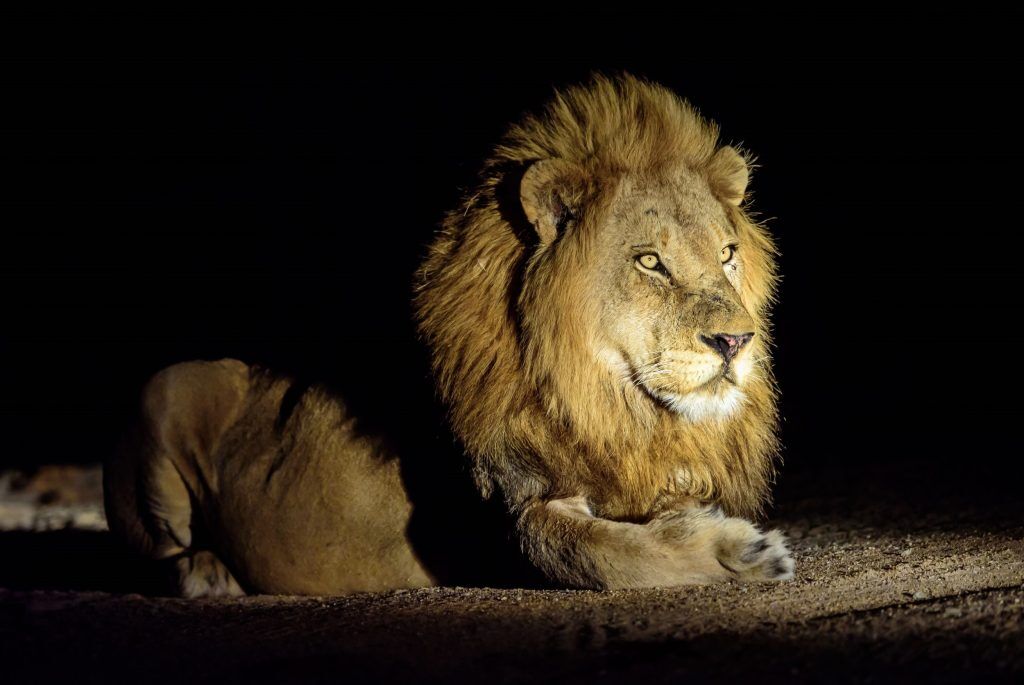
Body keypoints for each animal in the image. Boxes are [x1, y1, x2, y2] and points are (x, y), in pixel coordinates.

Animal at [104, 73, 793, 597]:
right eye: (650, 261)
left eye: (728, 253)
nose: (737, 342)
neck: (607, 401)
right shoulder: (495, 522)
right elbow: (598, 554)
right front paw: (745, 551)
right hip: (168, 387)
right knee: (158, 556)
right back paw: (210, 574)